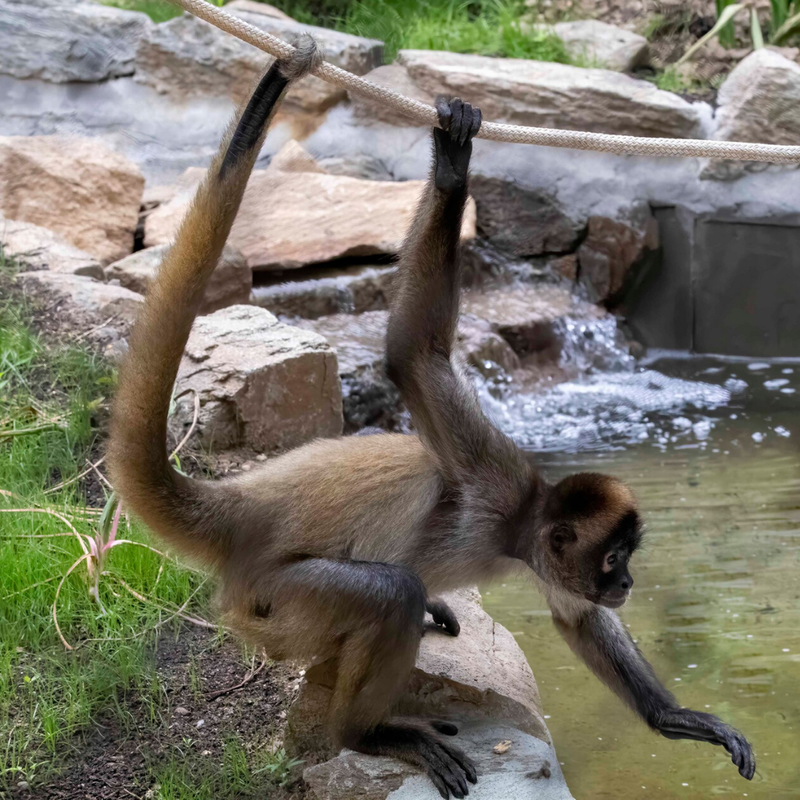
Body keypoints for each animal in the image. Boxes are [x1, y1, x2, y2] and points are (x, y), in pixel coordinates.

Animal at [109, 43, 755, 798]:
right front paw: (452, 170)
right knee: (391, 592)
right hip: (273, 603)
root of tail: (243, 510)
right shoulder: (492, 473)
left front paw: (673, 716)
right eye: (616, 559)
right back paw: (368, 731)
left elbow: (576, 616)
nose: (626, 585)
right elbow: (412, 354)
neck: (518, 520)